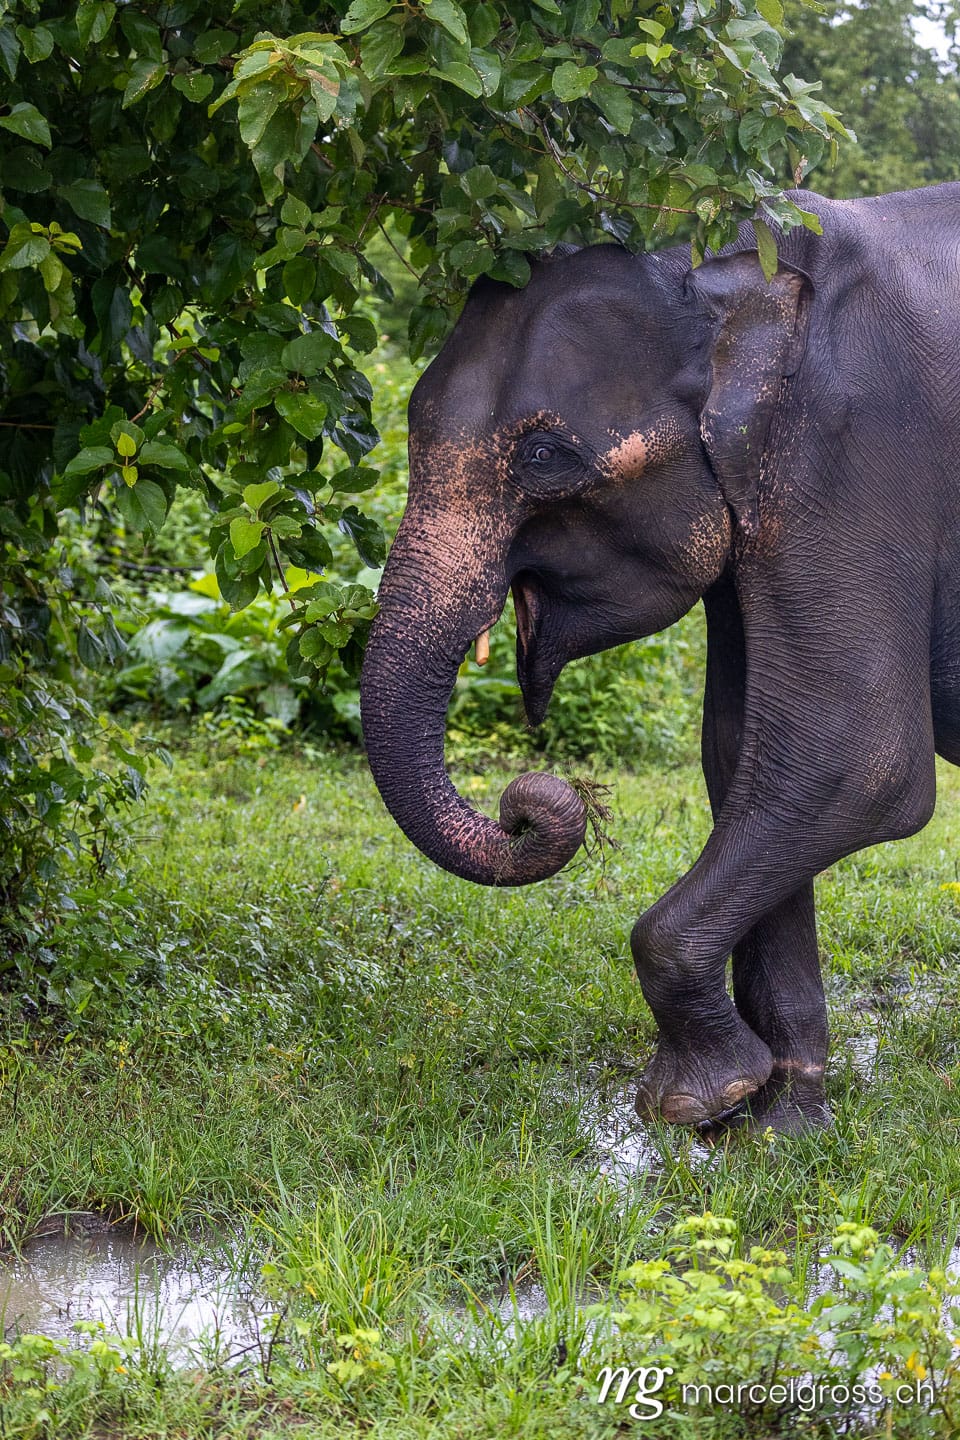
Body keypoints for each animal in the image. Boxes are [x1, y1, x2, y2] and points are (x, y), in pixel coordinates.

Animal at [360, 182, 960, 1134]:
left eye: (545, 457)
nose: (525, 806)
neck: (725, 265)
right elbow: (745, 760)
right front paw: (781, 1125)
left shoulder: (852, 454)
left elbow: (852, 763)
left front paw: (699, 1100)